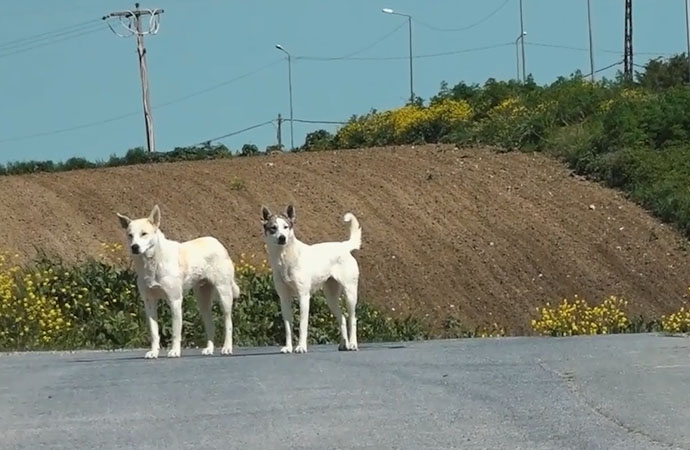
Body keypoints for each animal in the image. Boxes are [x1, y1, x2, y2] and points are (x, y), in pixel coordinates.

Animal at [115, 205, 239, 358]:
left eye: (144, 234)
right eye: (130, 235)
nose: (134, 247)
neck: (152, 263)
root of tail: (218, 244)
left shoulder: (175, 301)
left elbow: (175, 331)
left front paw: (174, 351)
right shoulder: (149, 302)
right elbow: (154, 332)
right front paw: (154, 352)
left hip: (224, 294)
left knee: (228, 323)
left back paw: (227, 348)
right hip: (202, 301)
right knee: (210, 325)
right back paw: (209, 349)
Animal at [260, 205, 360, 356]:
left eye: (286, 227)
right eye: (273, 228)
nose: (282, 238)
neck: (285, 258)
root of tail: (343, 246)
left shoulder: (303, 297)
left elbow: (302, 325)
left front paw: (301, 347)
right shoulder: (284, 299)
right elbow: (288, 327)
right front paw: (288, 347)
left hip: (350, 294)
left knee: (352, 318)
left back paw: (353, 344)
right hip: (331, 298)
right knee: (342, 317)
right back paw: (344, 344)